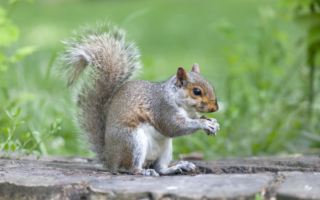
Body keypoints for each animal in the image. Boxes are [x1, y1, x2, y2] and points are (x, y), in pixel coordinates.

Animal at [56, 22, 219, 177]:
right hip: (132, 142)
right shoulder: (162, 108)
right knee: (130, 168)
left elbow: (194, 118)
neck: (181, 102)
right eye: (197, 91)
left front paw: (212, 122)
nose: (215, 108)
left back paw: (176, 167)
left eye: (211, 86)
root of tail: (109, 158)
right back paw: (144, 171)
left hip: (165, 147)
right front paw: (204, 123)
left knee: (160, 168)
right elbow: (174, 126)